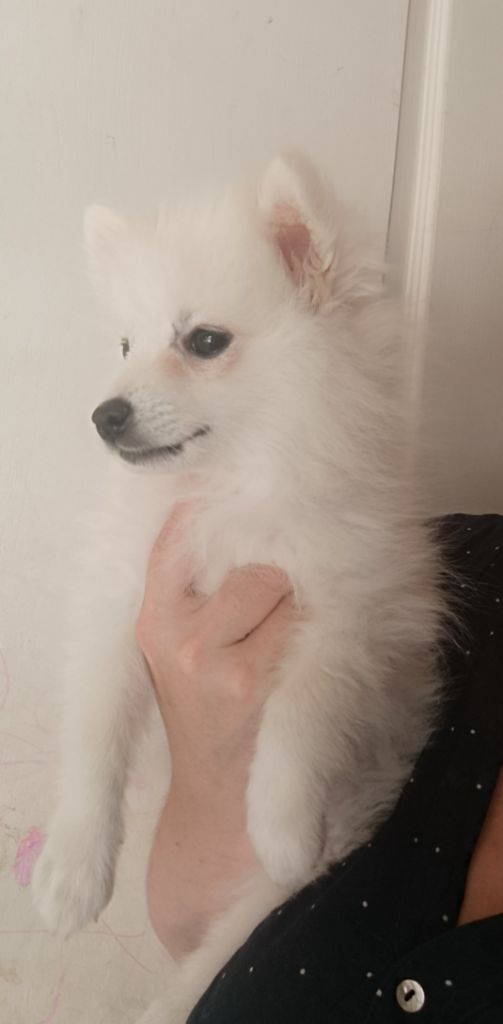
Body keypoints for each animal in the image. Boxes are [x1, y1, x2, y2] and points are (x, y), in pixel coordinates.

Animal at [33, 153, 443, 1022]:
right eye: (125, 343)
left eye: (204, 341)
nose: (104, 414)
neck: (232, 488)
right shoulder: (121, 605)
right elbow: (94, 733)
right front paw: (72, 868)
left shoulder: (357, 607)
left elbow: (303, 704)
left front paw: (281, 822)